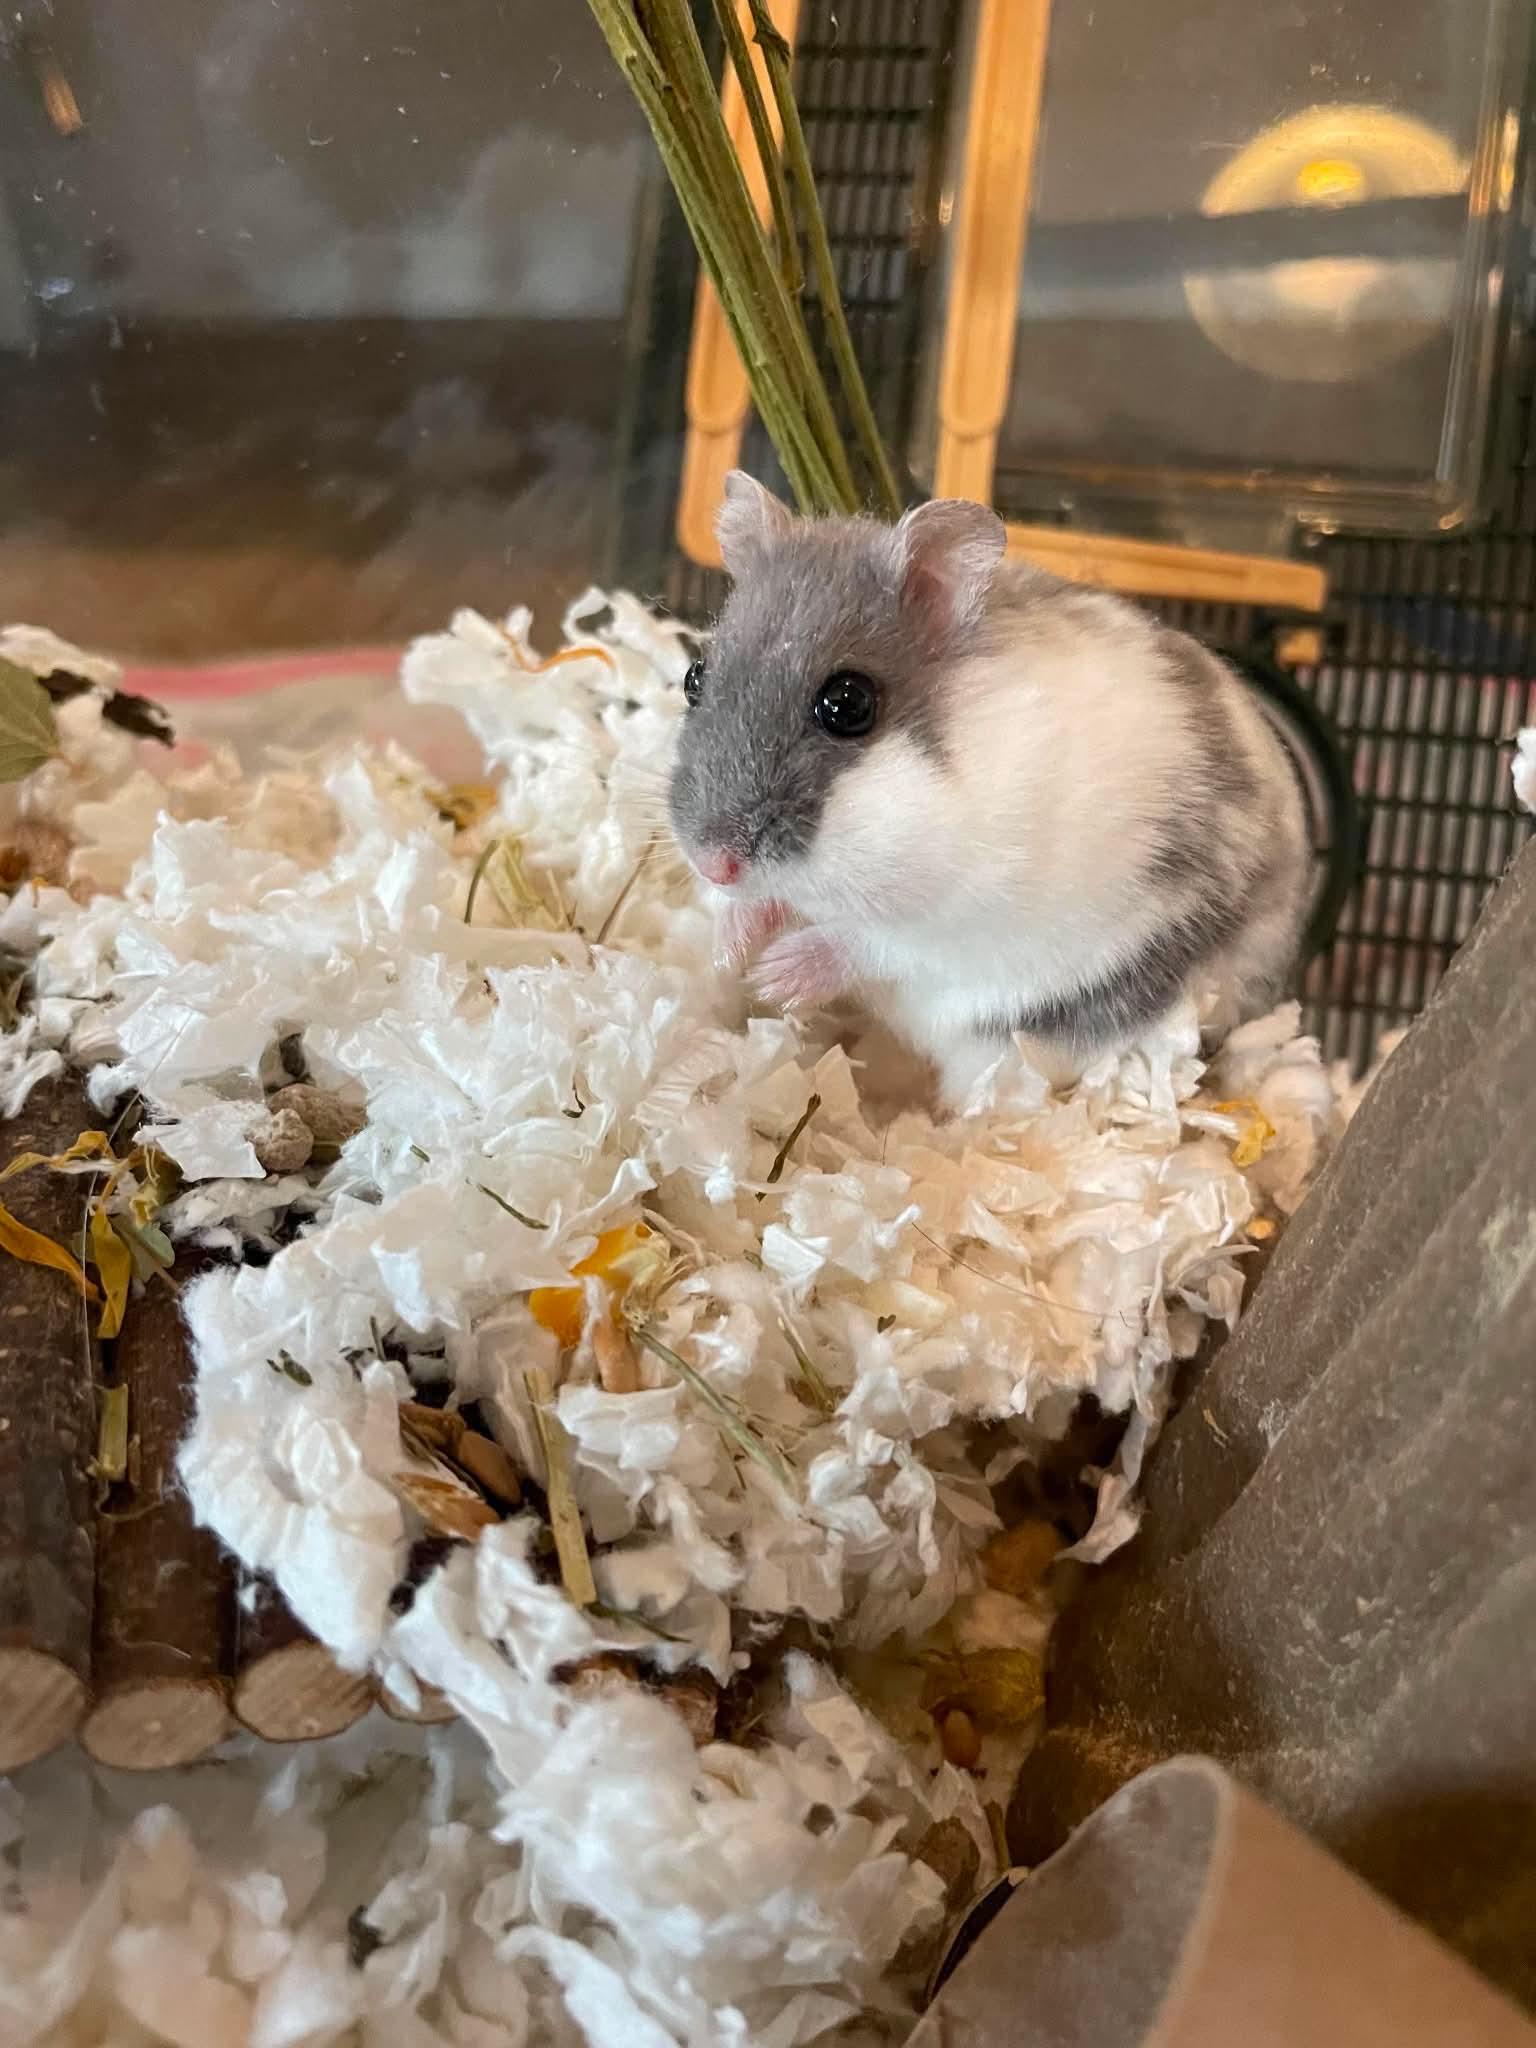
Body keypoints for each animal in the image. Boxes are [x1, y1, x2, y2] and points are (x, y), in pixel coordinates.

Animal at [668, 469, 1311, 1109]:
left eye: (847, 703)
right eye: (693, 677)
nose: (713, 863)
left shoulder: (964, 912)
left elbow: (871, 944)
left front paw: (775, 976)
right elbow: (767, 907)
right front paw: (732, 950)